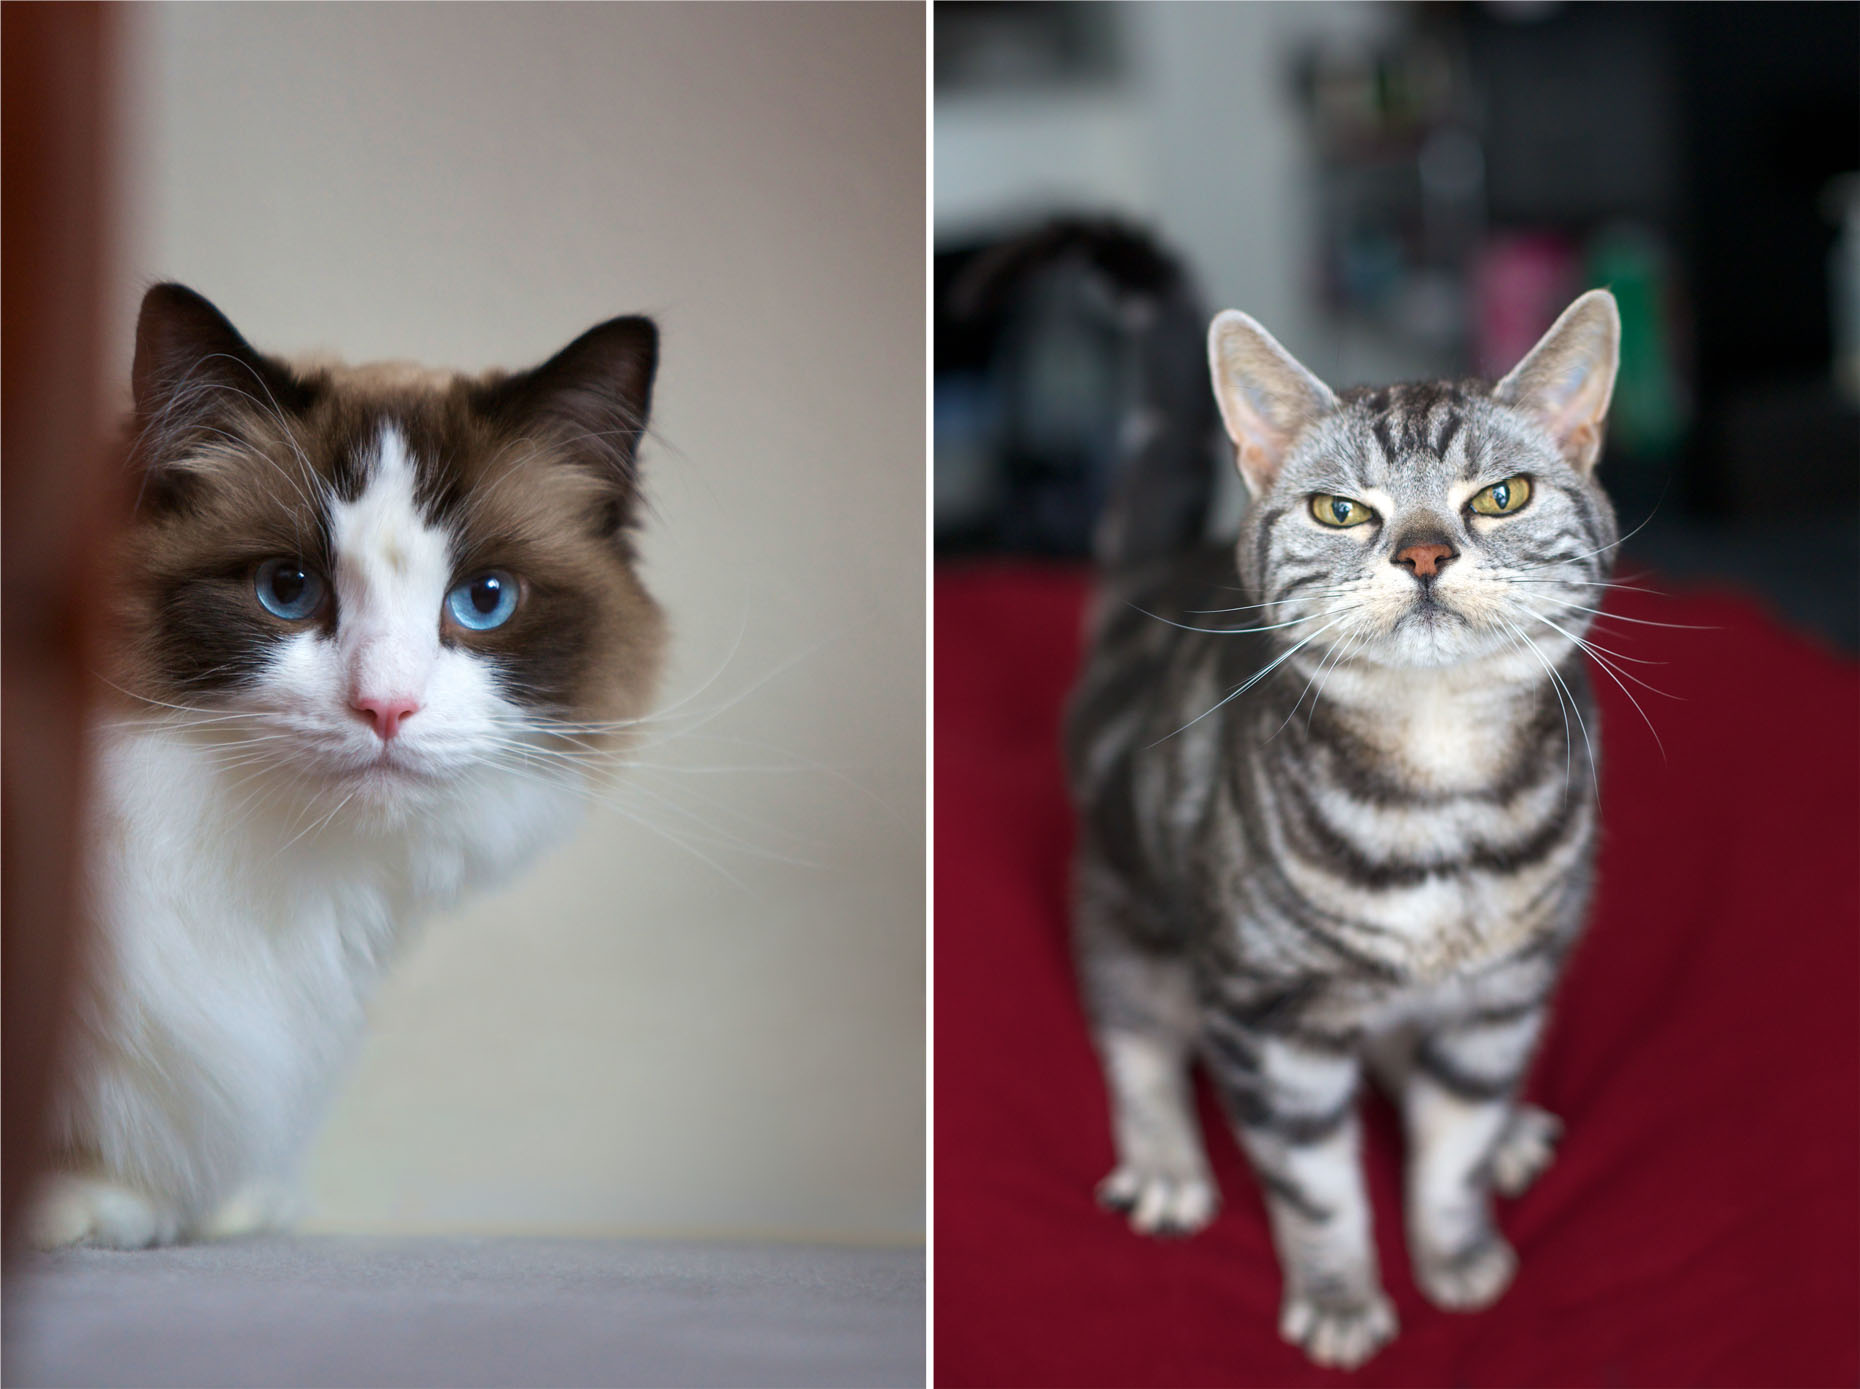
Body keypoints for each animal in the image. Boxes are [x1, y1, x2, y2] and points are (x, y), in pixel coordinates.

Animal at [1071, 271, 1621, 1368]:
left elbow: (1454, 1141)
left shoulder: (1505, 995)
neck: (1440, 778)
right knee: (1135, 1024)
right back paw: (1166, 1159)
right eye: (1340, 511)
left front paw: (1455, 1250)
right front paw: (1340, 1295)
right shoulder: (1265, 1015)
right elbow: (1316, 1186)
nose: (1424, 553)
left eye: (1501, 496)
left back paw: (1508, 1131)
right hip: (1127, 897)